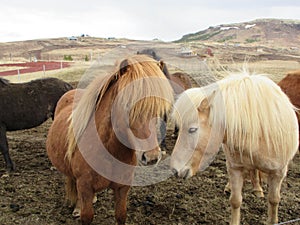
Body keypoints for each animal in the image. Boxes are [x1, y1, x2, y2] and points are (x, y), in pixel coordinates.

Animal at [46, 55, 173, 225]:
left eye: (159, 107)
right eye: (127, 104)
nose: (151, 157)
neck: (108, 149)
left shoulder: (122, 189)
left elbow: (120, 215)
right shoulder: (85, 187)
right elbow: (86, 215)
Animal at [170, 73, 298, 224]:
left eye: (192, 129)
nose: (174, 169)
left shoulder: (278, 173)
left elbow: (274, 200)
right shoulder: (235, 168)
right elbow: (235, 201)